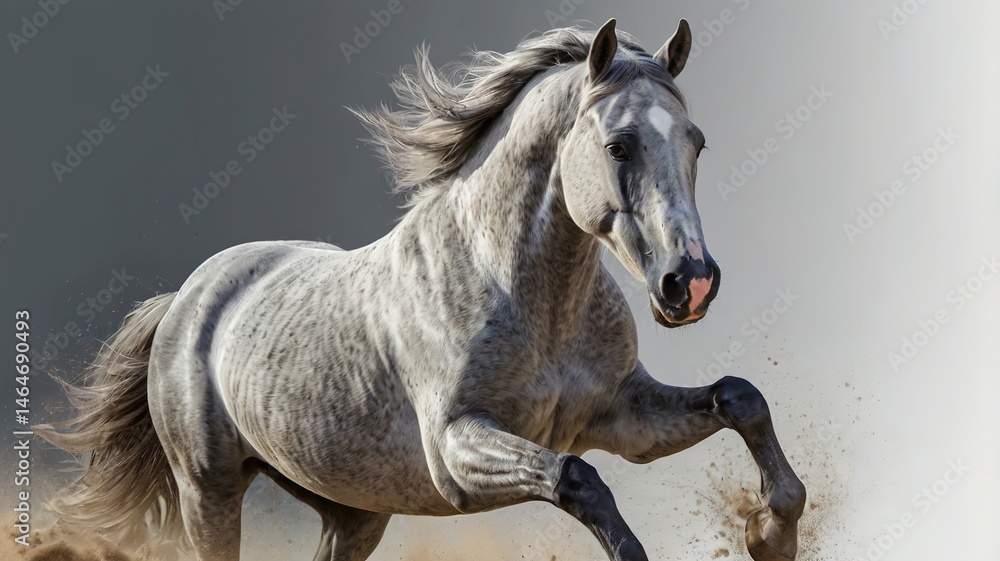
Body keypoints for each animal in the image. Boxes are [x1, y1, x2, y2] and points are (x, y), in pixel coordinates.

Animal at [38, 18, 805, 561]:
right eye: (619, 145)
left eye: (695, 142)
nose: (691, 283)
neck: (530, 300)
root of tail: (187, 299)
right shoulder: (458, 451)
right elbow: (579, 482)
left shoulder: (623, 419)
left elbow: (740, 397)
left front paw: (773, 533)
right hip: (209, 492)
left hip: (353, 509)